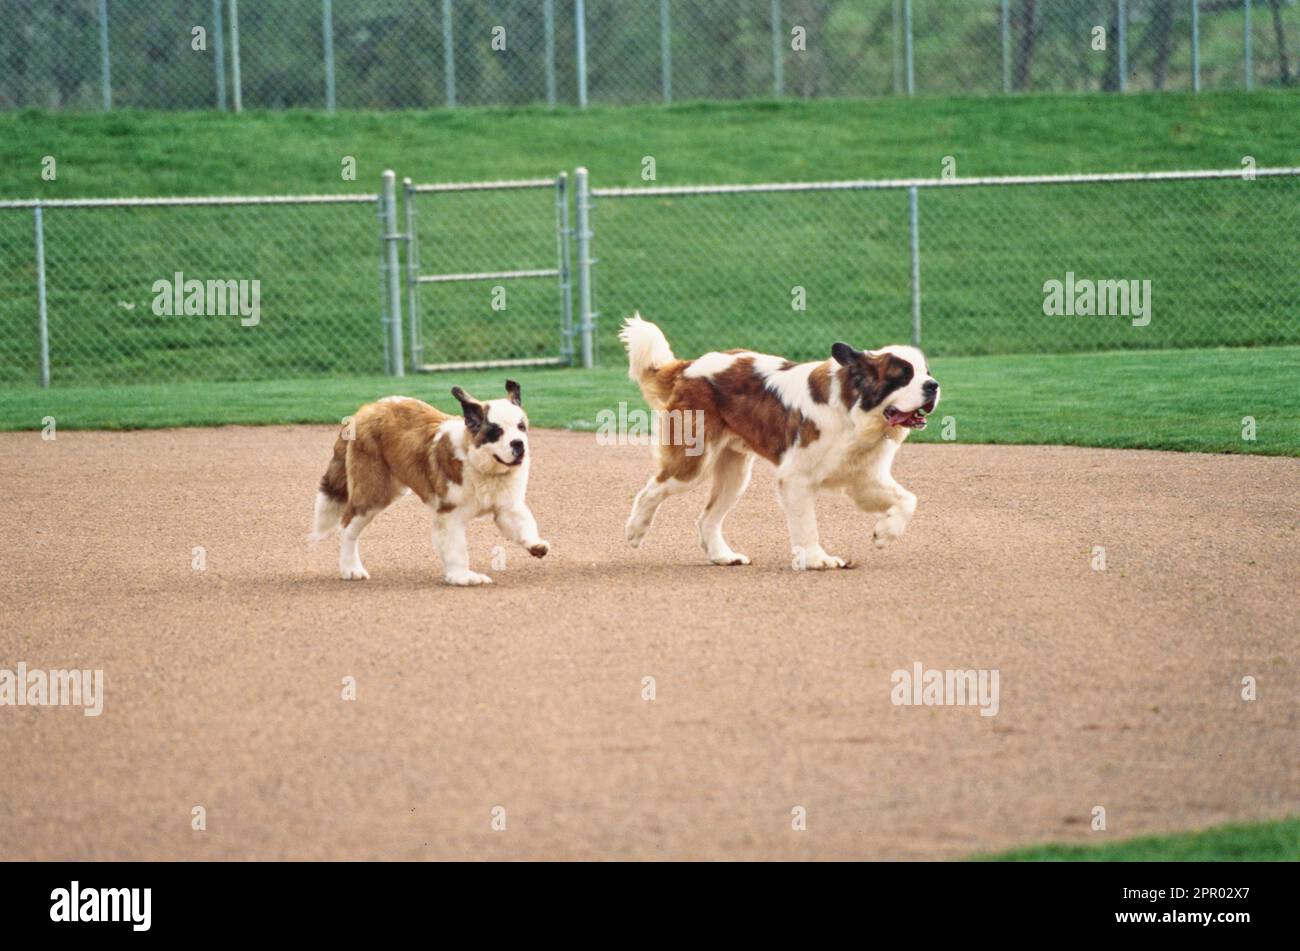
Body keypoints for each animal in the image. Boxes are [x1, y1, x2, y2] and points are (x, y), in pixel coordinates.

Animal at [309, 381, 548, 582]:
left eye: (521, 427)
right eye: (496, 432)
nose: (518, 444)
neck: (477, 464)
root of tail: (367, 409)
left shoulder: (507, 507)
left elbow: (523, 524)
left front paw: (536, 545)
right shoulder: (449, 514)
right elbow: (456, 549)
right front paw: (462, 577)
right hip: (373, 493)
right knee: (347, 527)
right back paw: (351, 569)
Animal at [616, 315, 935, 571]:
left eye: (926, 373)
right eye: (902, 377)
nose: (934, 386)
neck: (852, 411)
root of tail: (690, 365)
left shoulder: (864, 479)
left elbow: (909, 499)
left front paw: (885, 532)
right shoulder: (796, 479)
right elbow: (807, 524)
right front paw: (816, 559)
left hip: (735, 475)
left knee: (707, 518)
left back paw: (723, 556)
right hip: (694, 461)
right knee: (653, 489)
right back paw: (635, 530)